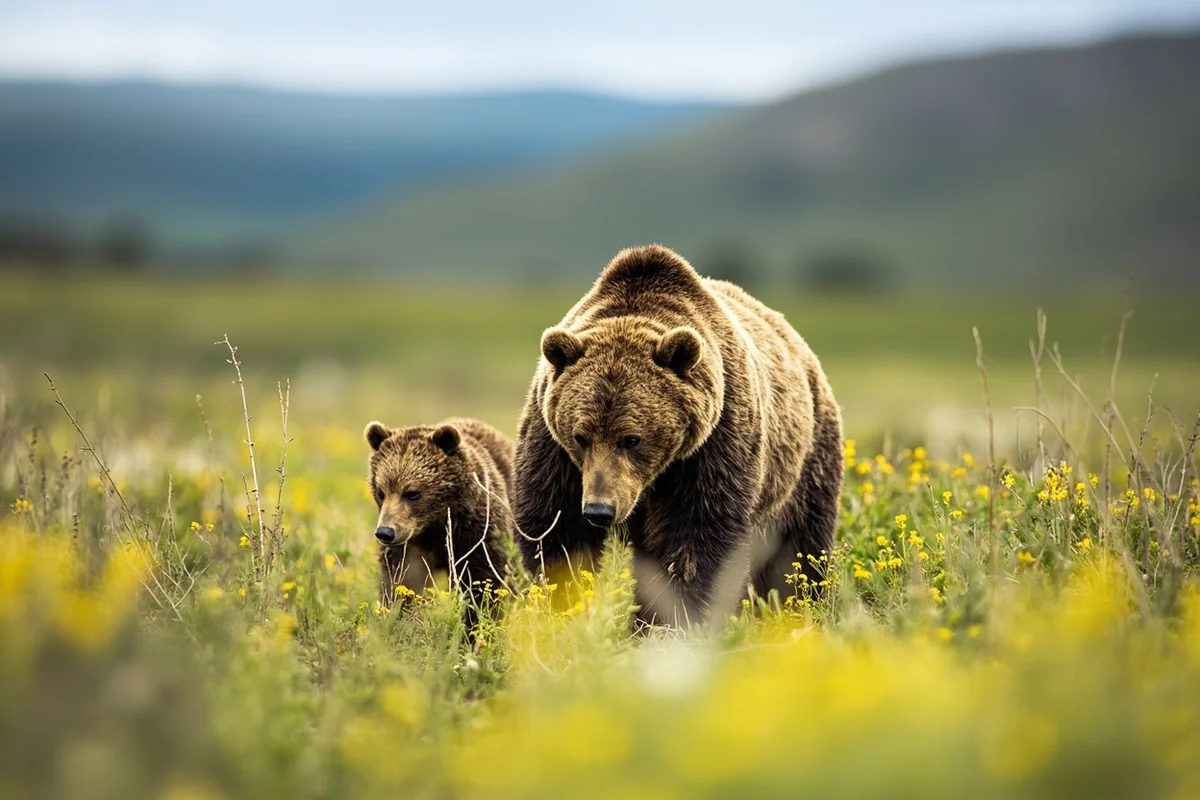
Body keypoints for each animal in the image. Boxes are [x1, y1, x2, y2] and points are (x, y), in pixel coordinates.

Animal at [364, 418, 515, 632]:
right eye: (381, 492)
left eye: (412, 493)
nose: (385, 532)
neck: (434, 527)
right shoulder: (407, 549)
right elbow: (401, 583)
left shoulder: (476, 534)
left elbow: (486, 582)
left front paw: (477, 627)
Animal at [512, 244, 843, 627]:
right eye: (581, 436)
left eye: (632, 438)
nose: (599, 509)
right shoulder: (554, 448)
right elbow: (556, 528)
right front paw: (569, 602)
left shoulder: (713, 444)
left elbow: (697, 534)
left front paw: (677, 617)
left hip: (807, 459)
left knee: (800, 543)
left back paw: (799, 605)